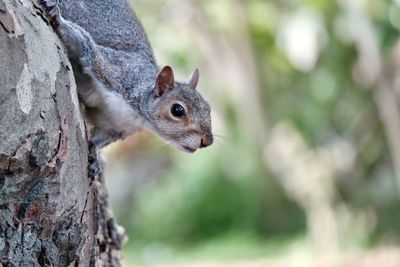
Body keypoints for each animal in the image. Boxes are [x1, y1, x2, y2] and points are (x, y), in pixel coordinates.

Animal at [39, 0, 214, 153]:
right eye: (177, 110)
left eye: (208, 108)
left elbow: (103, 138)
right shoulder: (115, 71)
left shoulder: (116, 126)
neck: (137, 115)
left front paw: (94, 155)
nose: (207, 141)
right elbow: (86, 44)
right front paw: (58, 18)